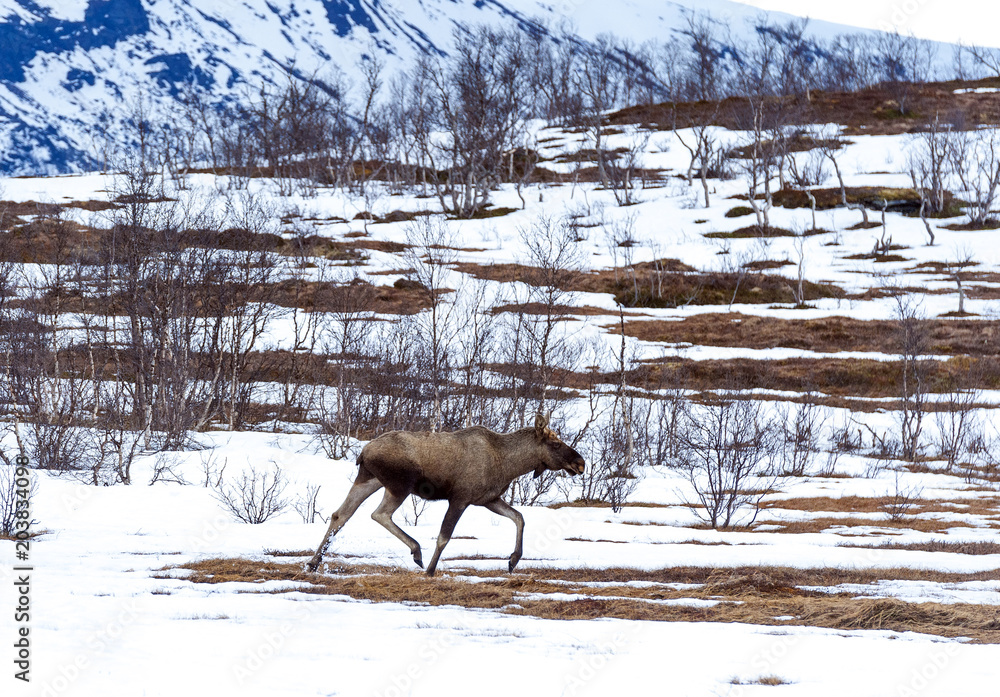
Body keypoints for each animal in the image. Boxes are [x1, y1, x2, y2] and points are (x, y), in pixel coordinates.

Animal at [305, 414, 585, 576]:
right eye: (556, 443)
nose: (581, 463)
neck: (509, 464)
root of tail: (363, 452)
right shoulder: (460, 498)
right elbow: (444, 537)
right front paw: (430, 570)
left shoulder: (488, 499)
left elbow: (519, 518)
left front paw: (513, 560)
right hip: (400, 485)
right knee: (379, 514)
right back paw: (417, 552)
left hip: (368, 479)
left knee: (340, 514)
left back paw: (313, 562)